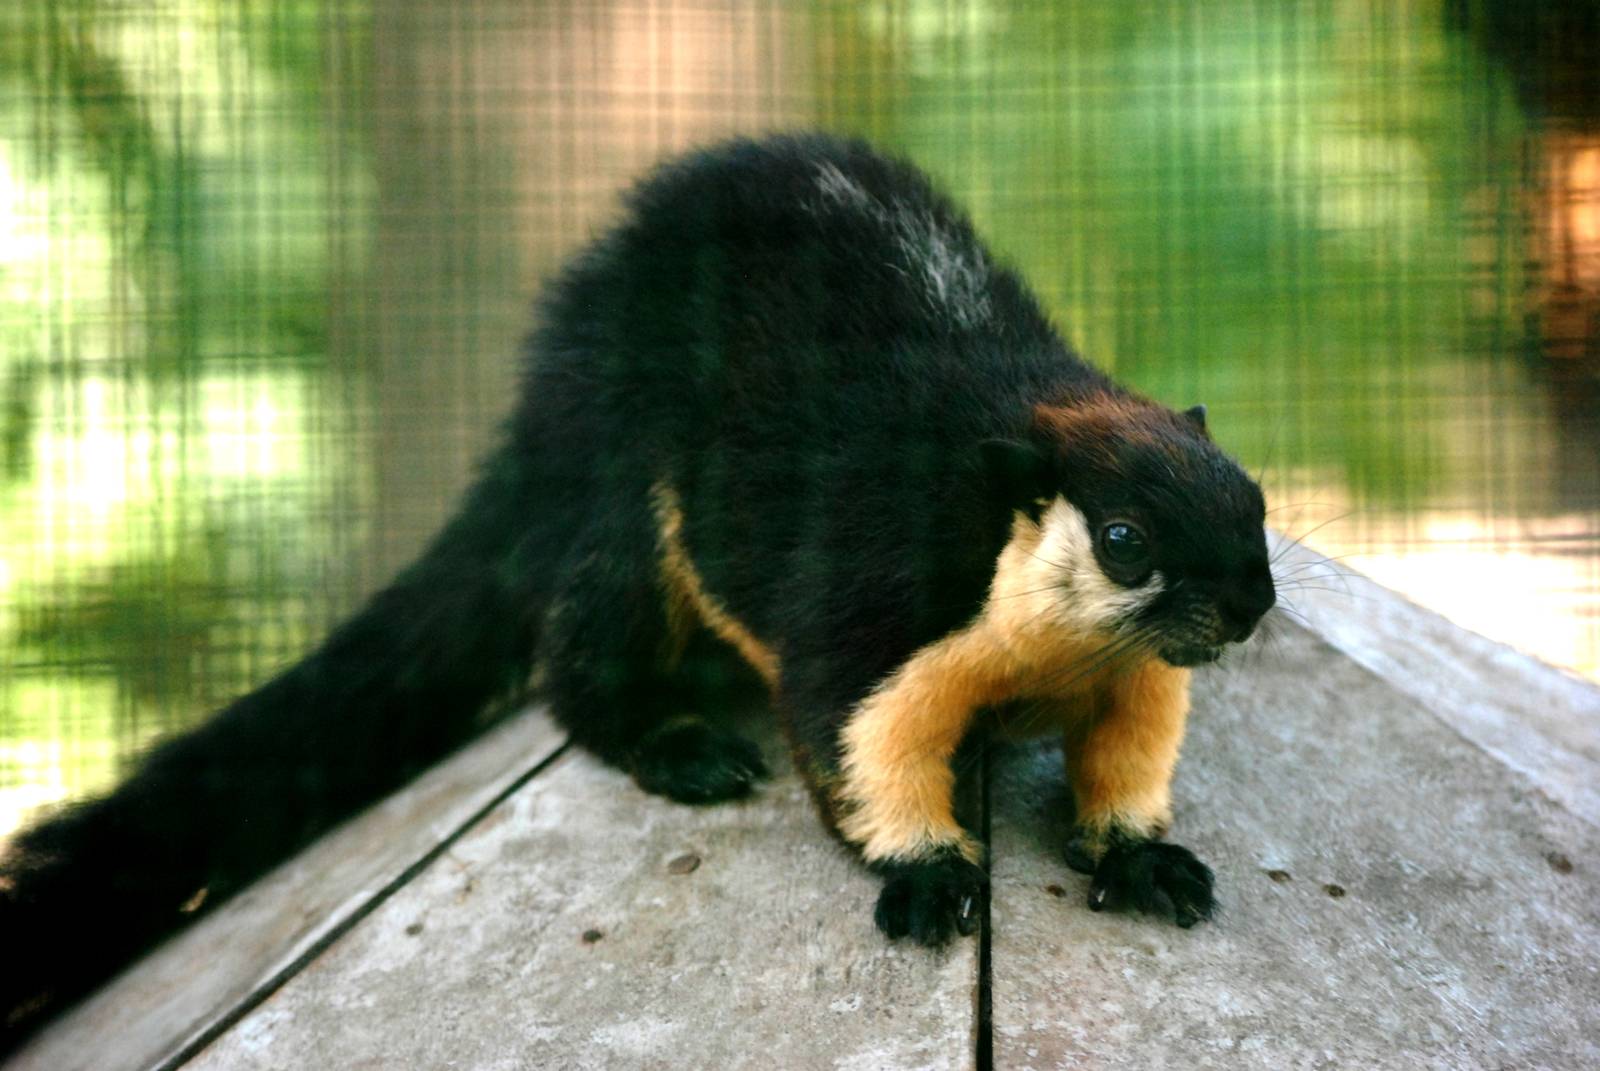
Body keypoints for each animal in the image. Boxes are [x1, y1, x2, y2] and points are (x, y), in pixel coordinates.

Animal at [0, 133, 1275, 1045]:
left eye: (1257, 502)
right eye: (1122, 538)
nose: (1251, 608)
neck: (1054, 651)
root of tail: (545, 402)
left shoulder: (1140, 681)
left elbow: (1125, 768)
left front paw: (1140, 858)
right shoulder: (868, 603)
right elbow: (859, 748)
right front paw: (923, 878)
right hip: (631, 516)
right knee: (578, 668)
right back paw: (678, 746)